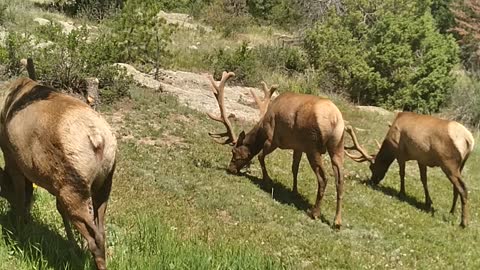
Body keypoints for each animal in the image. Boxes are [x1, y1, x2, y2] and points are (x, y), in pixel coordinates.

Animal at [206, 71, 344, 228]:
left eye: (234, 152)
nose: (231, 168)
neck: (262, 127)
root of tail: (335, 119)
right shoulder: (298, 146)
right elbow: (294, 168)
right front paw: (294, 191)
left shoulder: (273, 140)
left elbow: (260, 156)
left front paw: (267, 181)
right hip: (337, 146)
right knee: (340, 180)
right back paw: (337, 221)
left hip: (313, 146)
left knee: (323, 178)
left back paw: (315, 212)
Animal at [344, 112, 474, 228]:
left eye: (371, 167)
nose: (372, 181)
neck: (390, 145)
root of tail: (469, 140)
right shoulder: (421, 159)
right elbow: (424, 179)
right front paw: (428, 202)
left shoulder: (400, 153)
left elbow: (402, 174)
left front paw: (402, 193)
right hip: (460, 166)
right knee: (456, 188)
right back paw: (451, 211)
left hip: (448, 163)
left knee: (463, 188)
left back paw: (464, 223)